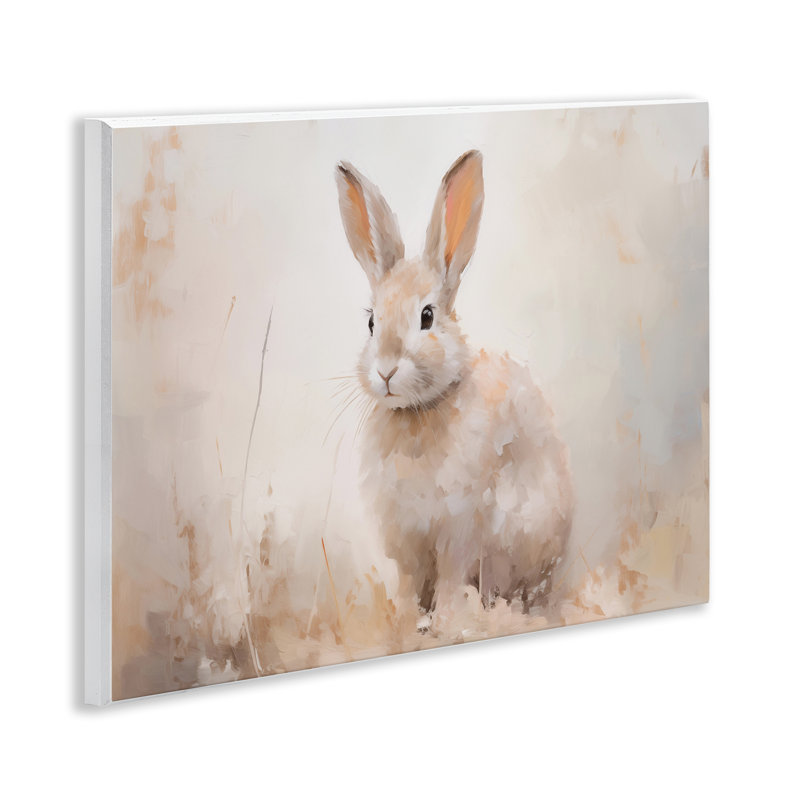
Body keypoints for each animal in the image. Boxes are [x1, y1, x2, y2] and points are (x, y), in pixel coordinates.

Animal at [335, 150, 573, 628]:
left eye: (427, 316)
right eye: (371, 322)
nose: (385, 371)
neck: (418, 412)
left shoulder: (459, 527)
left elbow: (449, 576)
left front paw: (446, 621)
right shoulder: (406, 540)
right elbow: (409, 584)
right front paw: (405, 619)